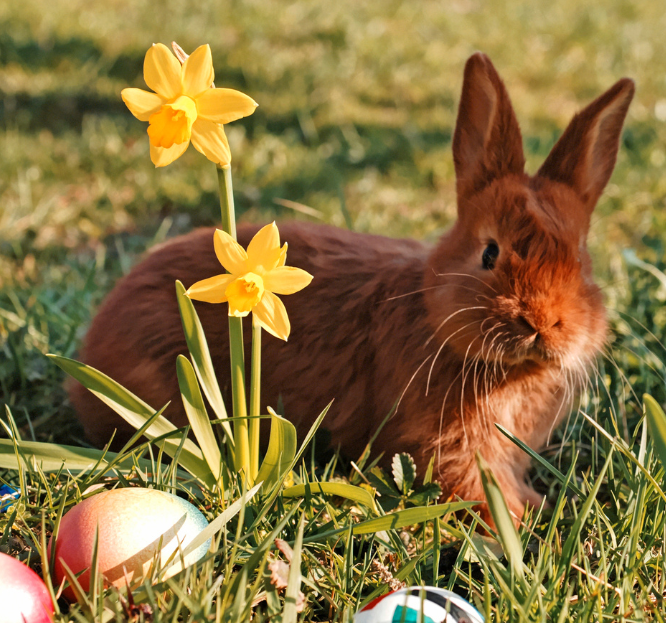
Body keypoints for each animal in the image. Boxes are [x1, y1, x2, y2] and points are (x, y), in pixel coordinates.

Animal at [71, 53, 632, 520]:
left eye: (580, 259)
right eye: (489, 253)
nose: (542, 323)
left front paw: (538, 510)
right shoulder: (447, 448)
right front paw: (516, 527)